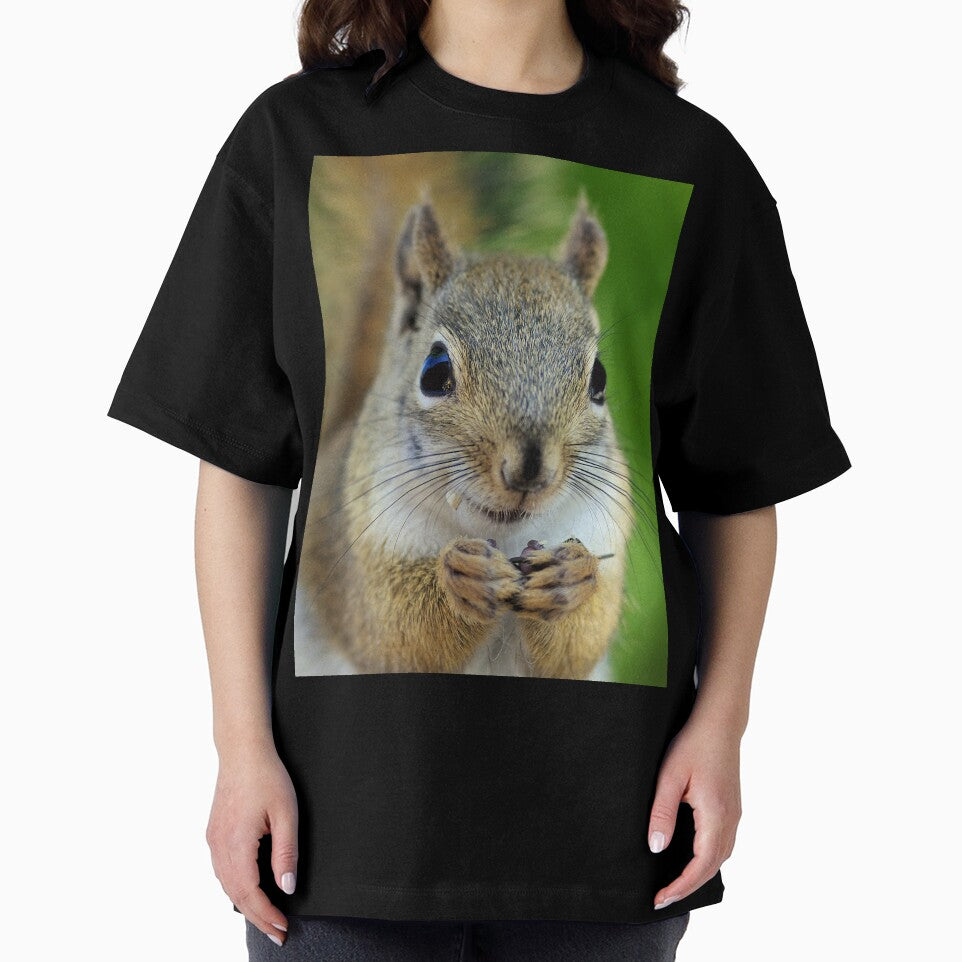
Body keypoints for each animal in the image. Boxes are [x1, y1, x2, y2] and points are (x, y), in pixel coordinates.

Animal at [296, 188, 635, 681]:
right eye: (434, 372)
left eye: (599, 380)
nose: (530, 470)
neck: (502, 535)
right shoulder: (362, 544)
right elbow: (393, 630)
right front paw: (463, 574)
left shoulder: (600, 525)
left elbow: (577, 646)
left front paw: (571, 576)